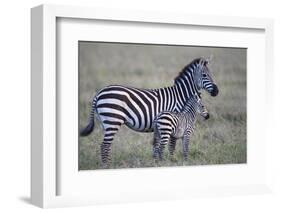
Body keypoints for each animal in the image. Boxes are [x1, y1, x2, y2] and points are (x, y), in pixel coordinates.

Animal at [80, 57, 218, 166]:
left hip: (106, 122)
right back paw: (107, 166)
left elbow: (156, 145)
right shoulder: (174, 122)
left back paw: (107, 163)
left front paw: (156, 162)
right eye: (205, 75)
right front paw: (171, 160)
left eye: (212, 74)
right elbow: (171, 145)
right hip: (113, 120)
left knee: (105, 145)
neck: (180, 96)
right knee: (105, 145)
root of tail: (99, 93)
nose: (216, 92)